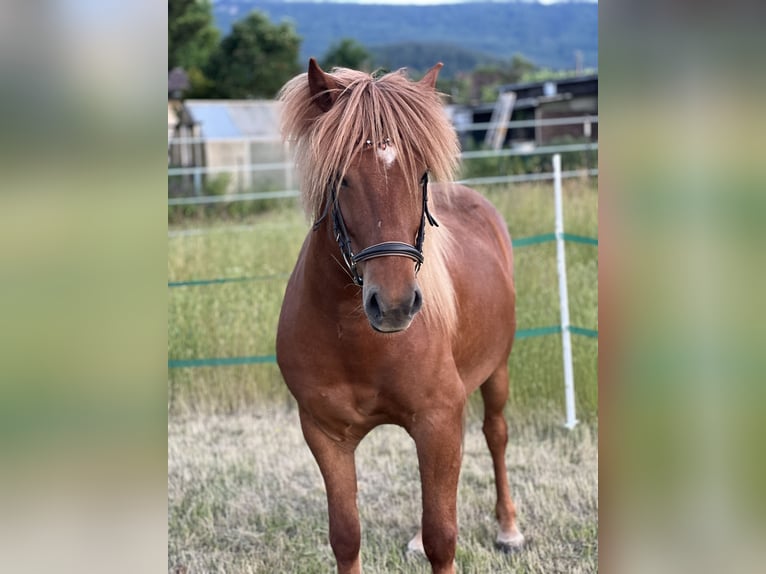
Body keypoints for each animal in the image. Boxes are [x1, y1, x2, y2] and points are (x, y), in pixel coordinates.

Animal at [274, 59, 520, 574]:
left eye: (420, 173)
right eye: (341, 176)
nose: (393, 304)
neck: (359, 342)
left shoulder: (438, 421)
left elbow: (443, 538)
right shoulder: (325, 435)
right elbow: (346, 537)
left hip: (498, 372)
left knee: (496, 435)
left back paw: (509, 528)